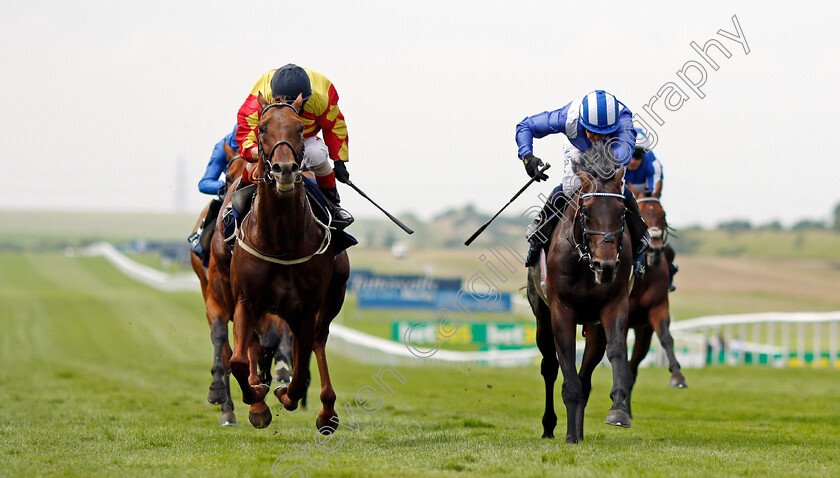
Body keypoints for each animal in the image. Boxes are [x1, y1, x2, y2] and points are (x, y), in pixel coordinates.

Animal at [220, 92, 352, 430]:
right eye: (262, 128)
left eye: (298, 127)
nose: (285, 170)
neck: (279, 241)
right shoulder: (246, 300)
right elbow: (238, 361)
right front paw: (256, 400)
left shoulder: (306, 308)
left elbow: (301, 366)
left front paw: (285, 394)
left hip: (330, 300)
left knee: (317, 342)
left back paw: (327, 411)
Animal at [524, 159, 636, 442]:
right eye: (585, 212)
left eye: (622, 212)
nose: (605, 266)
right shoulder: (561, 310)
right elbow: (565, 364)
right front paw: (569, 436)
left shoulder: (614, 304)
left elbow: (617, 350)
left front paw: (618, 410)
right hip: (542, 318)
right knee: (550, 367)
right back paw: (551, 426)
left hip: (594, 327)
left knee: (586, 376)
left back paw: (579, 431)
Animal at [628, 196, 684, 416]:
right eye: (640, 212)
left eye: (663, 215)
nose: (656, 251)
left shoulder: (656, 309)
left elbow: (666, 337)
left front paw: (677, 375)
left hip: (643, 331)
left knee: (633, 365)